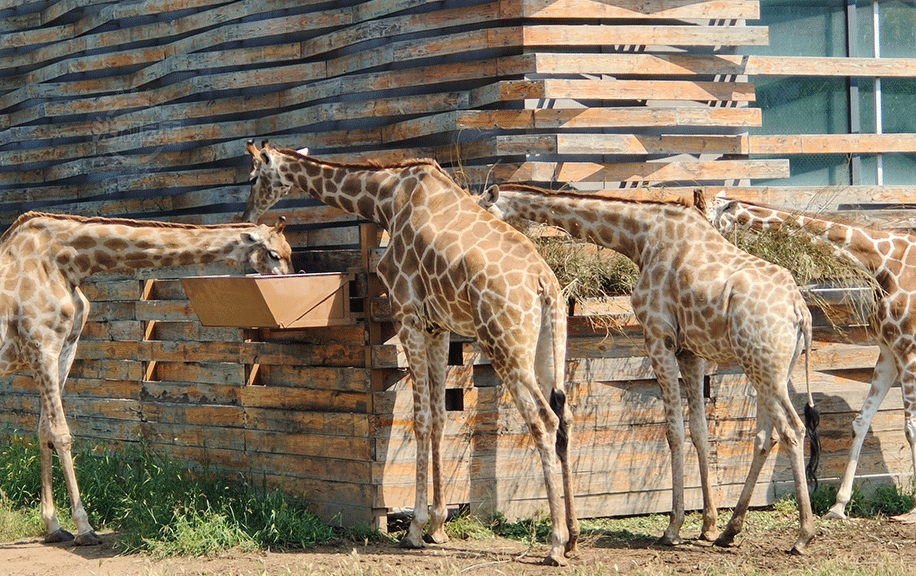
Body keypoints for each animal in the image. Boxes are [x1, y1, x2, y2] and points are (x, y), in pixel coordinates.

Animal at [0, 210, 292, 544]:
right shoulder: (42, 347)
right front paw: (85, 527)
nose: (289, 283)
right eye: (274, 254)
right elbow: (61, 433)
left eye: (290, 253)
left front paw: (53, 525)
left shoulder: (65, 348)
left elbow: (43, 431)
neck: (68, 264)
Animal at [243, 141, 580, 568]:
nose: (247, 216)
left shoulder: (406, 315)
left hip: (504, 343)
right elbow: (438, 418)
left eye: (254, 177)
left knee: (543, 420)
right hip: (549, 343)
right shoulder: (439, 327)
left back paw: (554, 544)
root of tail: (544, 282)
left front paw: (416, 529)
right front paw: (438, 525)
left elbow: (419, 419)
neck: (386, 199)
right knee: (565, 415)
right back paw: (573, 537)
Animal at [476, 184, 820, 552]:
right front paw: (708, 525)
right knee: (765, 437)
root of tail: (801, 311)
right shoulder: (689, 352)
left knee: (793, 430)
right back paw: (730, 530)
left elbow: (673, 431)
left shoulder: (657, 336)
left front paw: (673, 527)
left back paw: (803, 534)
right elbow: (699, 431)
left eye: (485, 206)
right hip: (770, 370)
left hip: (764, 368)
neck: (641, 238)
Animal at [708, 192, 916, 520]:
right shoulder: (889, 349)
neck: (883, 263)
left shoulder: (909, 349)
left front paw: (913, 511)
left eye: (711, 218)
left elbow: (910, 428)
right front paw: (838, 506)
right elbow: (861, 421)